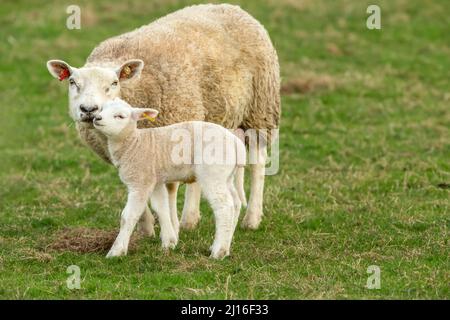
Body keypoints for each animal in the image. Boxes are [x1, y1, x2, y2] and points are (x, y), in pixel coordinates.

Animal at [48, 3, 282, 234]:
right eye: (72, 82)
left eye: (114, 83)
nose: (89, 109)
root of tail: (231, 7)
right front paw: (146, 228)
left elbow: (170, 187)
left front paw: (171, 227)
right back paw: (191, 219)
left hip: (259, 109)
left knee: (258, 163)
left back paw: (251, 218)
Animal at [95, 98, 248, 260]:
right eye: (102, 109)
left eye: (120, 116)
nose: (97, 118)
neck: (134, 143)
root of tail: (236, 144)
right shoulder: (155, 180)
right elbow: (161, 208)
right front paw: (169, 243)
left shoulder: (141, 181)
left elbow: (128, 216)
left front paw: (116, 251)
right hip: (226, 175)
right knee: (236, 203)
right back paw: (225, 246)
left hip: (212, 173)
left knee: (224, 206)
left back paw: (218, 252)